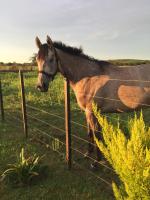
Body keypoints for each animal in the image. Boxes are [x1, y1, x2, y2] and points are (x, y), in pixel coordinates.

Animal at [34, 35, 150, 167]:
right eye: (37, 59)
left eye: (51, 59)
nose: (40, 86)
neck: (89, 77)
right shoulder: (88, 112)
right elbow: (90, 132)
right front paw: (88, 153)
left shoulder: (92, 112)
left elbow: (96, 134)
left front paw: (96, 161)